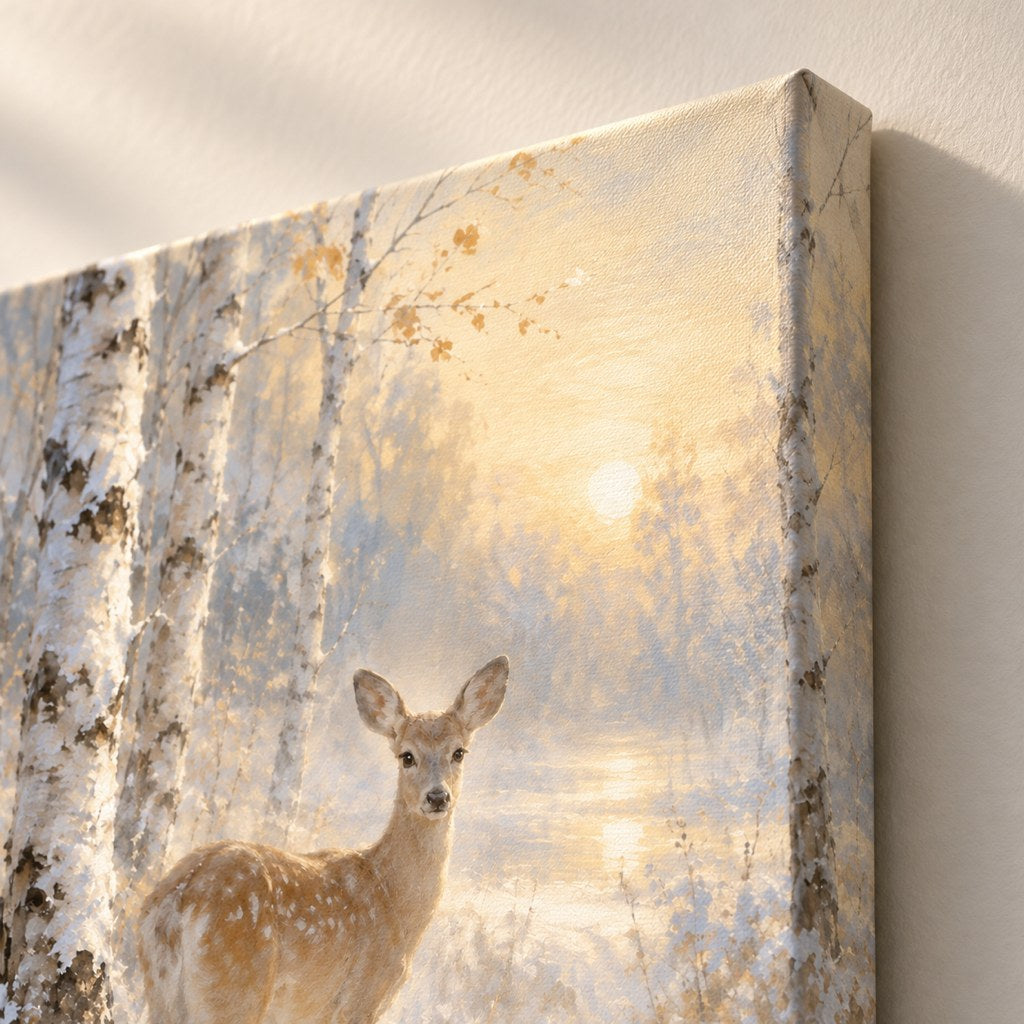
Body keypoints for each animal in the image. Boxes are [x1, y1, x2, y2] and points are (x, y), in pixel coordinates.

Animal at [137, 655, 509, 1024]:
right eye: (407, 756)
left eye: (459, 752)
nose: (437, 797)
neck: (392, 895)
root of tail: (178, 898)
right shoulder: (360, 997)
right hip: (234, 987)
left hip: (162, 994)